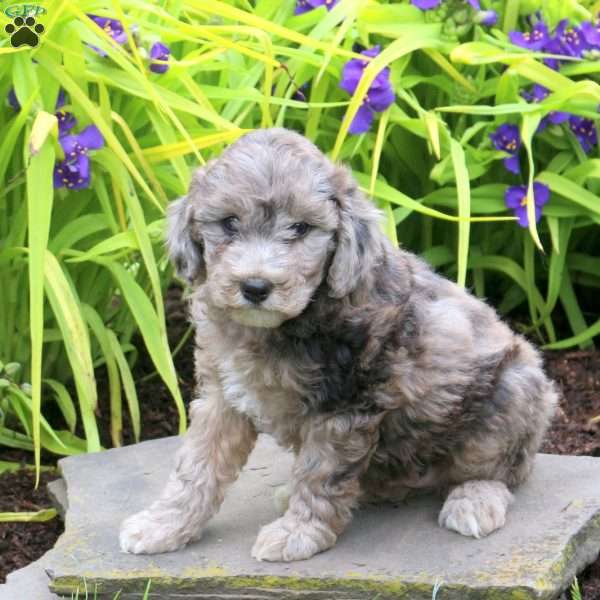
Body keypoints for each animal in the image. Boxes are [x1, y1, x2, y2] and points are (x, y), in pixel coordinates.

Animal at [119, 127, 560, 564]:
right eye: (228, 223)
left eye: (300, 229)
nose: (256, 287)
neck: (284, 323)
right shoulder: (221, 396)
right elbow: (197, 466)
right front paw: (164, 525)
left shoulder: (345, 404)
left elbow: (322, 473)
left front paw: (297, 533)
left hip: (512, 392)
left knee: (503, 470)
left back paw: (474, 500)